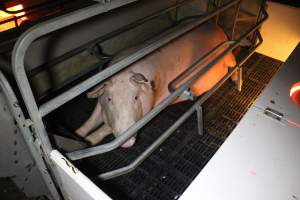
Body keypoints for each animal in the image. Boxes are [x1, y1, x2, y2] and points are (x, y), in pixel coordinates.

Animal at [75, 21, 237, 147]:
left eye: (135, 98)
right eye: (109, 99)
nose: (127, 142)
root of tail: (217, 27)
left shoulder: (149, 107)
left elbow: (105, 128)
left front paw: (89, 140)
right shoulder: (100, 101)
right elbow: (91, 120)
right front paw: (78, 137)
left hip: (229, 55)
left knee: (234, 67)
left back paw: (236, 84)